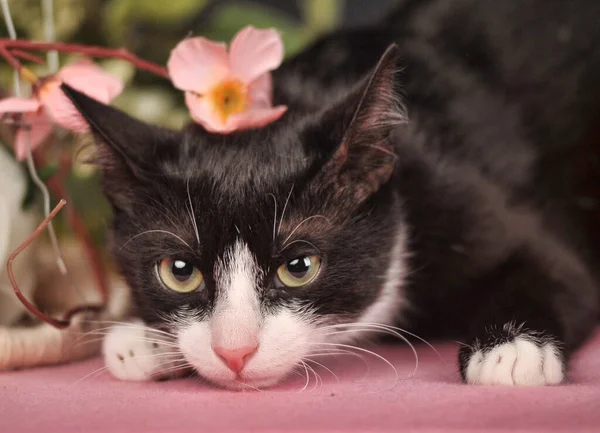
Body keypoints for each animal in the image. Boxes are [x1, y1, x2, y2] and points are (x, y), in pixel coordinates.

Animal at [62, 0, 600, 388]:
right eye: (179, 272)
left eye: (299, 267)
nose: (234, 352)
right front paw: (142, 340)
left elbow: (561, 270)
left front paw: (510, 351)